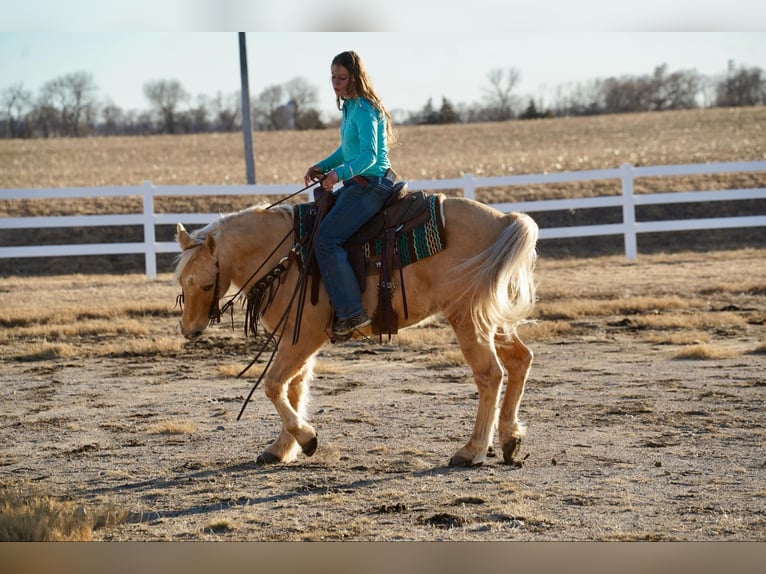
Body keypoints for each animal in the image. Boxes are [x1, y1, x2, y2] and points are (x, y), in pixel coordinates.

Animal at [176, 194, 540, 468]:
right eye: (181, 281)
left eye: (207, 284)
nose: (190, 330)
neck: (286, 255)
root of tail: (503, 220)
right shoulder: (293, 339)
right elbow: (293, 388)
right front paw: (282, 448)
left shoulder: (304, 337)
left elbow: (274, 385)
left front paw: (306, 438)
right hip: (492, 318)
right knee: (520, 360)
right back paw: (510, 438)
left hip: (467, 317)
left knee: (490, 374)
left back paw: (472, 450)